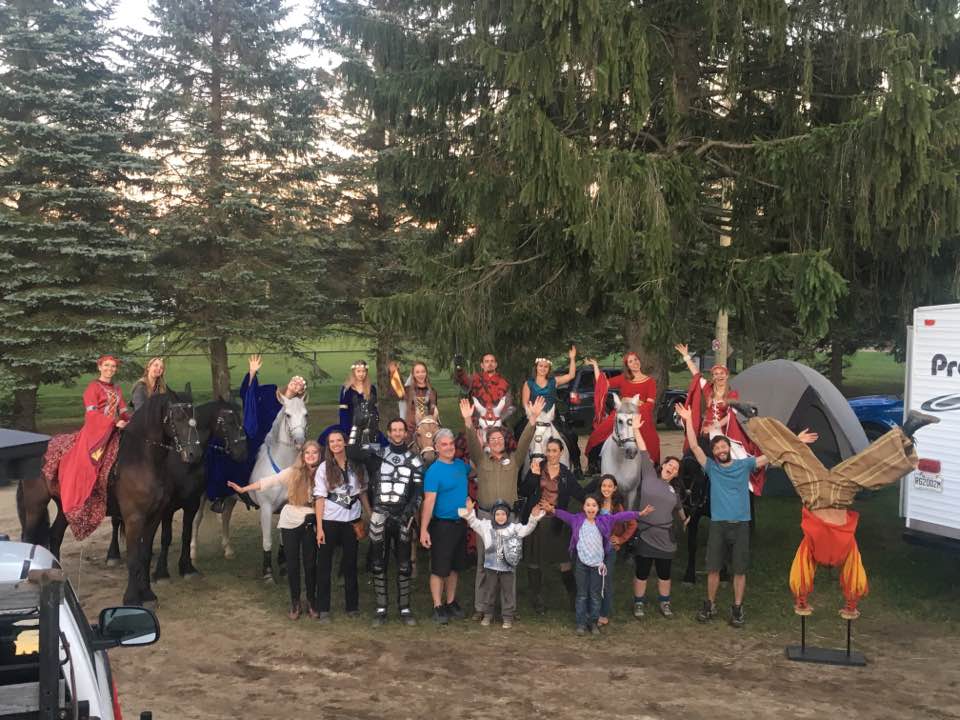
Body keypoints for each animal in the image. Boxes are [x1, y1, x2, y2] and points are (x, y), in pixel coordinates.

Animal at [189, 390, 306, 584]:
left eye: (306, 415)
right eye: (288, 415)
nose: (299, 441)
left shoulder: (286, 507)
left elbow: (283, 539)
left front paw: (283, 566)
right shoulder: (266, 508)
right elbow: (267, 541)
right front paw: (268, 573)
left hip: (230, 496)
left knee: (226, 516)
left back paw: (228, 549)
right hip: (201, 497)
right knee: (196, 520)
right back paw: (192, 553)